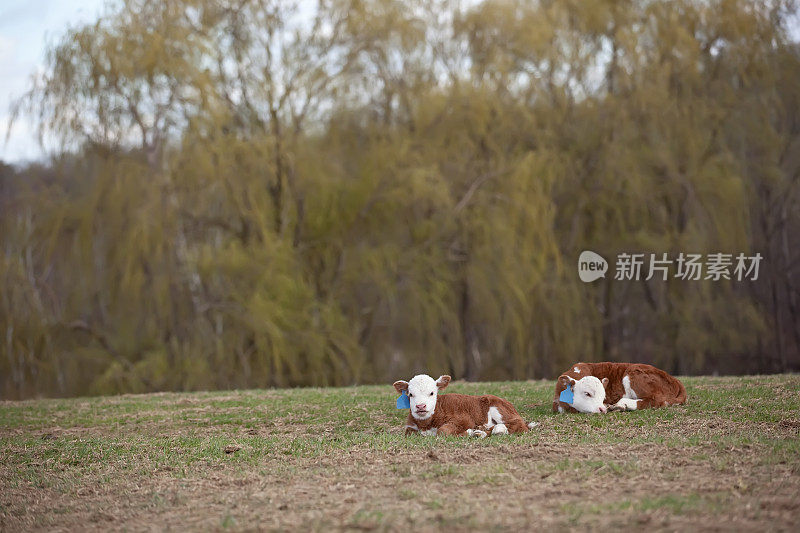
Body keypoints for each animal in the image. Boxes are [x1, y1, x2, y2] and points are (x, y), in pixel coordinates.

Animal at [390, 374, 536, 436]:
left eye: (432, 393)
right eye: (410, 394)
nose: (420, 406)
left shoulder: (464, 419)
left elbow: (443, 431)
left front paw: (468, 431)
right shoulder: (410, 427)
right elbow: (410, 433)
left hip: (498, 408)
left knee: (518, 425)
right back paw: (481, 430)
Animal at [552, 360, 688, 414]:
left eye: (603, 396)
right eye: (587, 393)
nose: (602, 409)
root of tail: (675, 380)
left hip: (633, 372)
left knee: (656, 400)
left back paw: (621, 404)